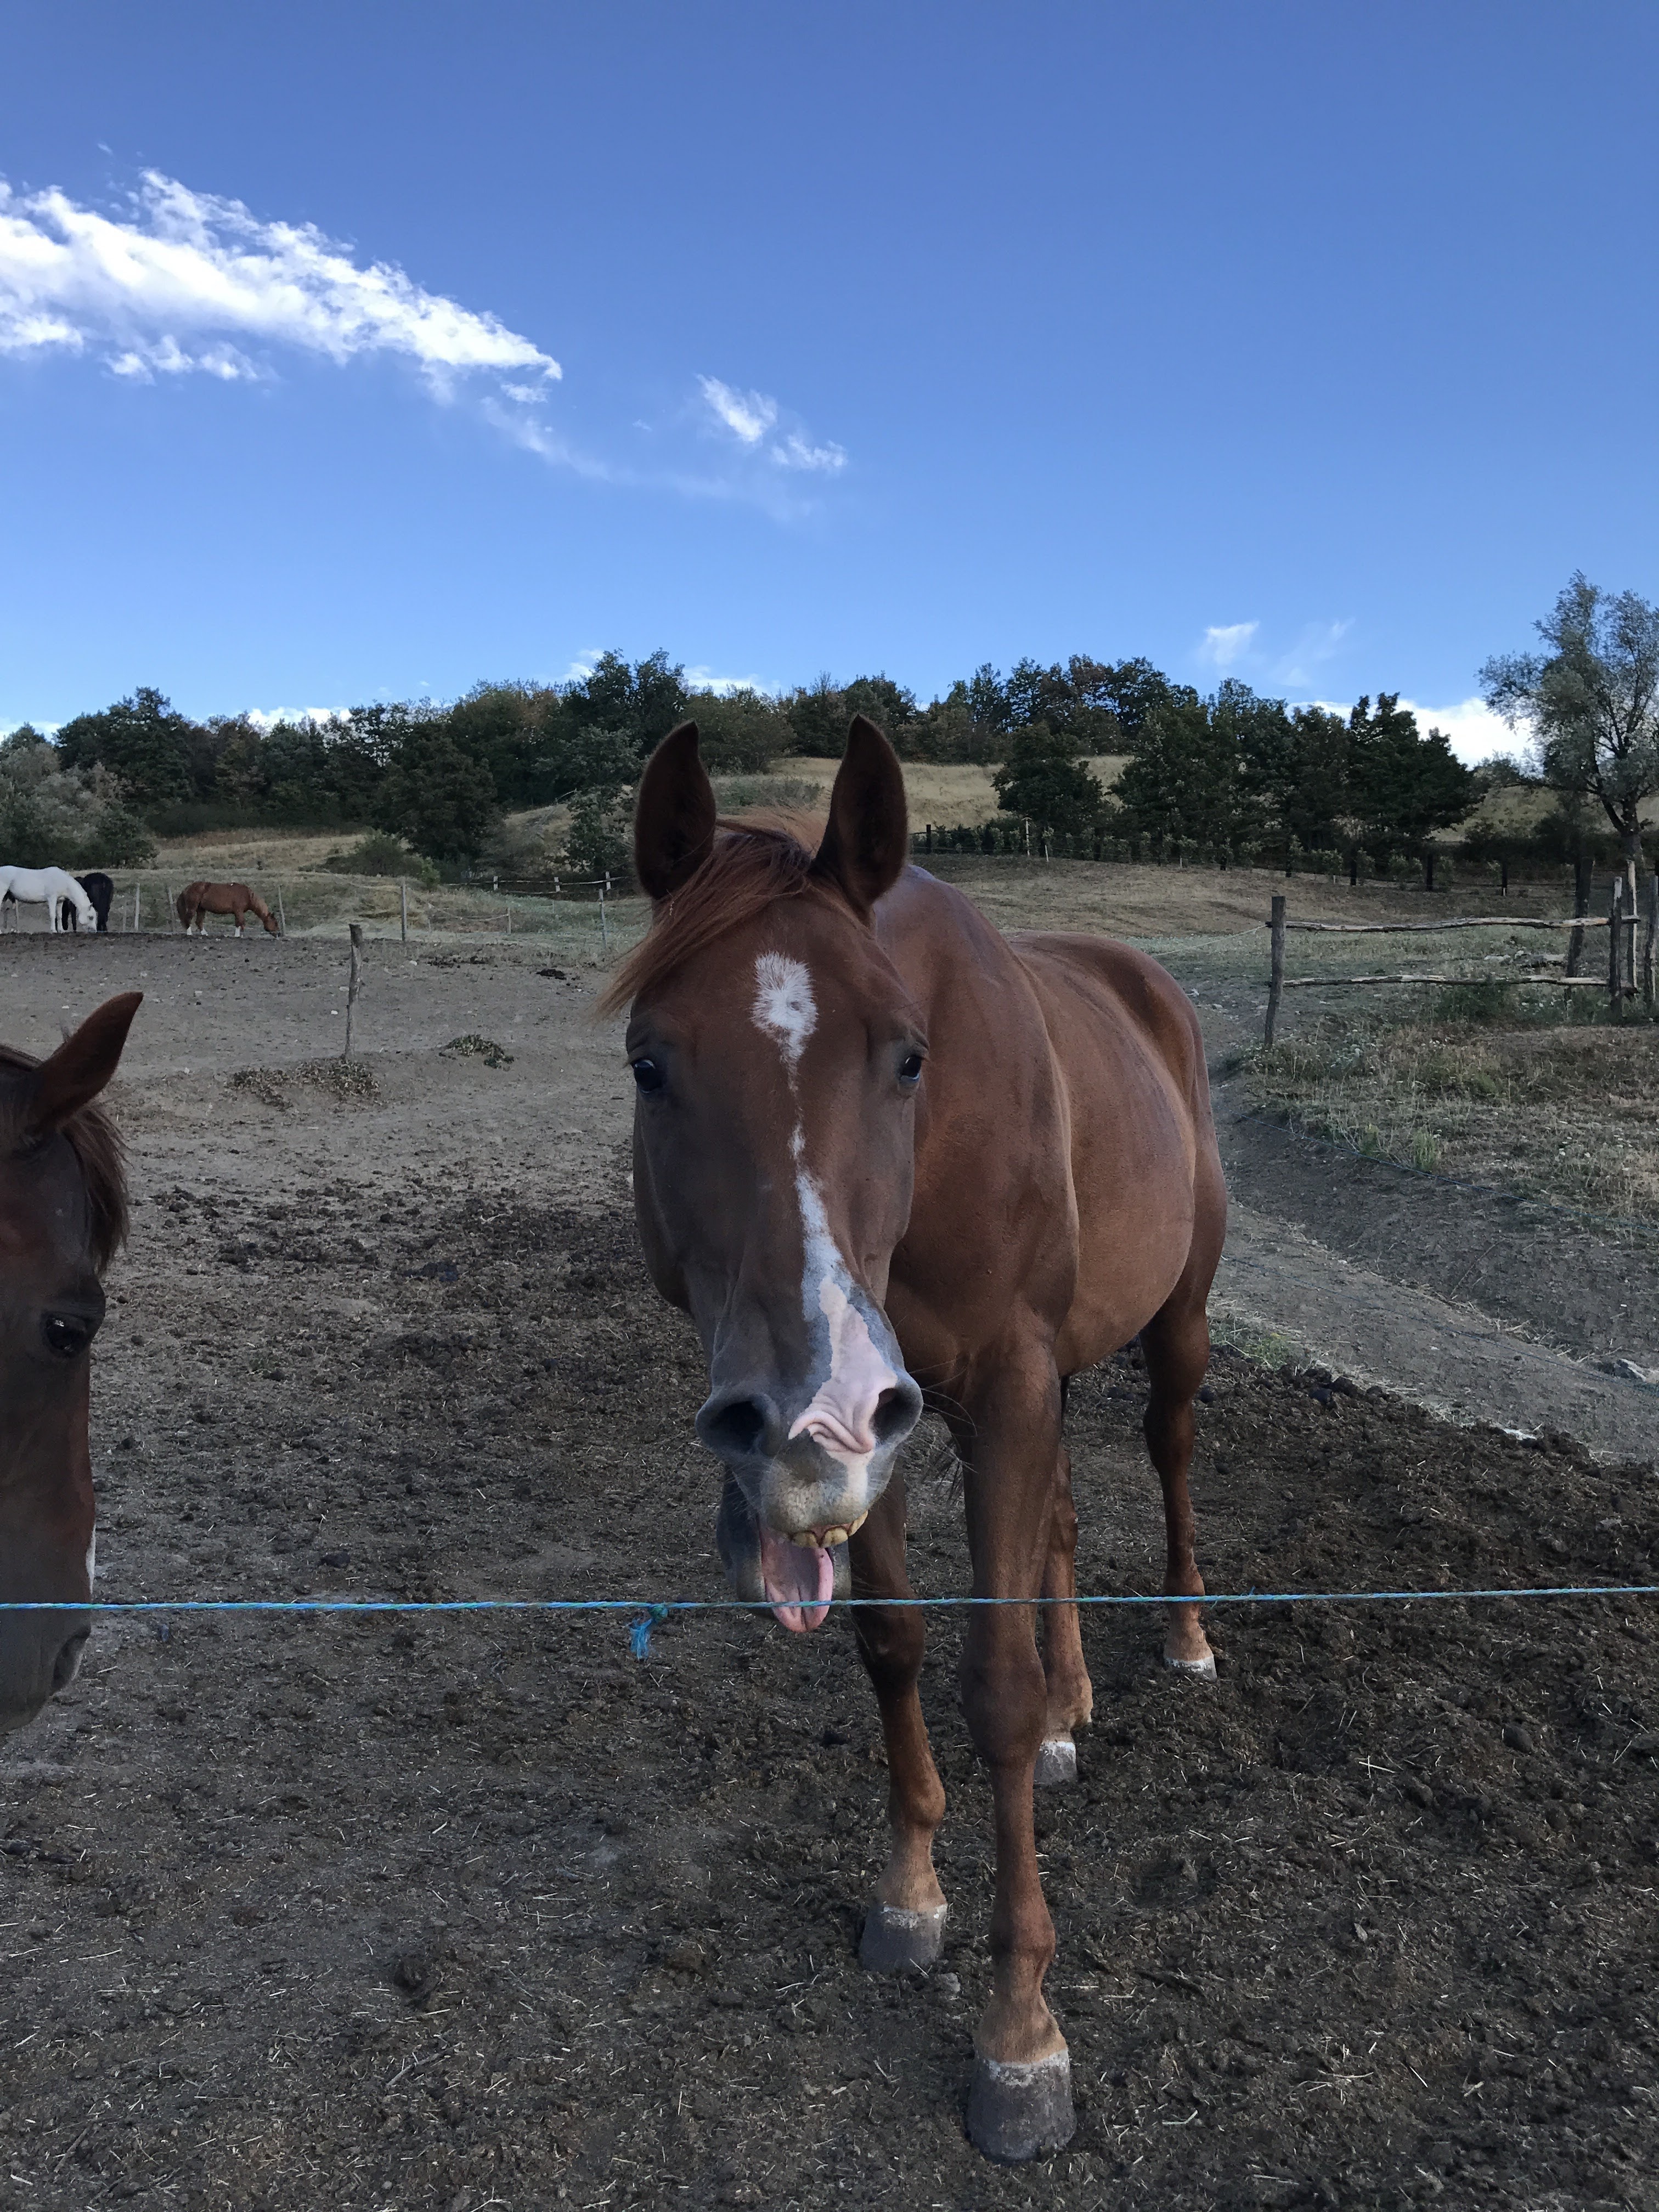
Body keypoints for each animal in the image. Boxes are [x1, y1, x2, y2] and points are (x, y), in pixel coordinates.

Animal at [0, 865, 96, 934]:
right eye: (91, 917)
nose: (94, 931)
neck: (62, 881)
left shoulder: (60, 901)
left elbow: (60, 916)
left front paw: (61, 930)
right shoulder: (52, 899)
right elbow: (53, 915)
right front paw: (53, 930)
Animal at [175, 881, 279, 937]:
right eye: (275, 923)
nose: (279, 934)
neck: (247, 896)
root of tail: (186, 889)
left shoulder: (238, 912)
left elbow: (239, 923)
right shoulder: (239, 911)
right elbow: (241, 923)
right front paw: (239, 936)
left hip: (201, 909)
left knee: (199, 922)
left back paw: (205, 934)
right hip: (193, 908)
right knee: (188, 920)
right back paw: (190, 934)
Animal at [605, 718, 1227, 2162]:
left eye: (906, 1055)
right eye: (650, 1061)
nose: (797, 1400)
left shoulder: (985, 1385)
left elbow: (989, 1688)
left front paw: (1021, 2038)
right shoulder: (875, 1430)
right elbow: (893, 1644)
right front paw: (909, 1896)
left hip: (1168, 1325)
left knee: (1169, 1452)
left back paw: (1180, 1635)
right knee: (1060, 1518)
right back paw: (1072, 1707)